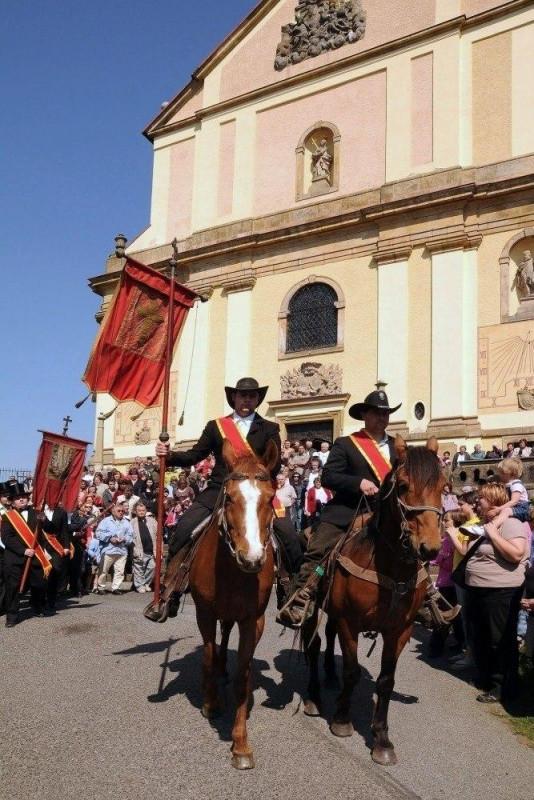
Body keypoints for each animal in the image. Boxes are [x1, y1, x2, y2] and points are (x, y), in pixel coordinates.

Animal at [189, 438, 280, 768]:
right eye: (228, 497)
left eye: (271, 498)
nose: (251, 558)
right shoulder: (204, 611)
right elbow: (206, 653)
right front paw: (210, 703)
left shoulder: (253, 620)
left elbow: (244, 675)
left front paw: (240, 744)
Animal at [304, 434, 446, 764]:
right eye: (403, 485)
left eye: (444, 485)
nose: (430, 548)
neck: (389, 569)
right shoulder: (350, 622)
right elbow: (353, 671)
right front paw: (342, 720)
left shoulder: (400, 630)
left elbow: (385, 681)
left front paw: (381, 739)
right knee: (312, 643)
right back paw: (314, 696)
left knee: (327, 638)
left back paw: (329, 675)